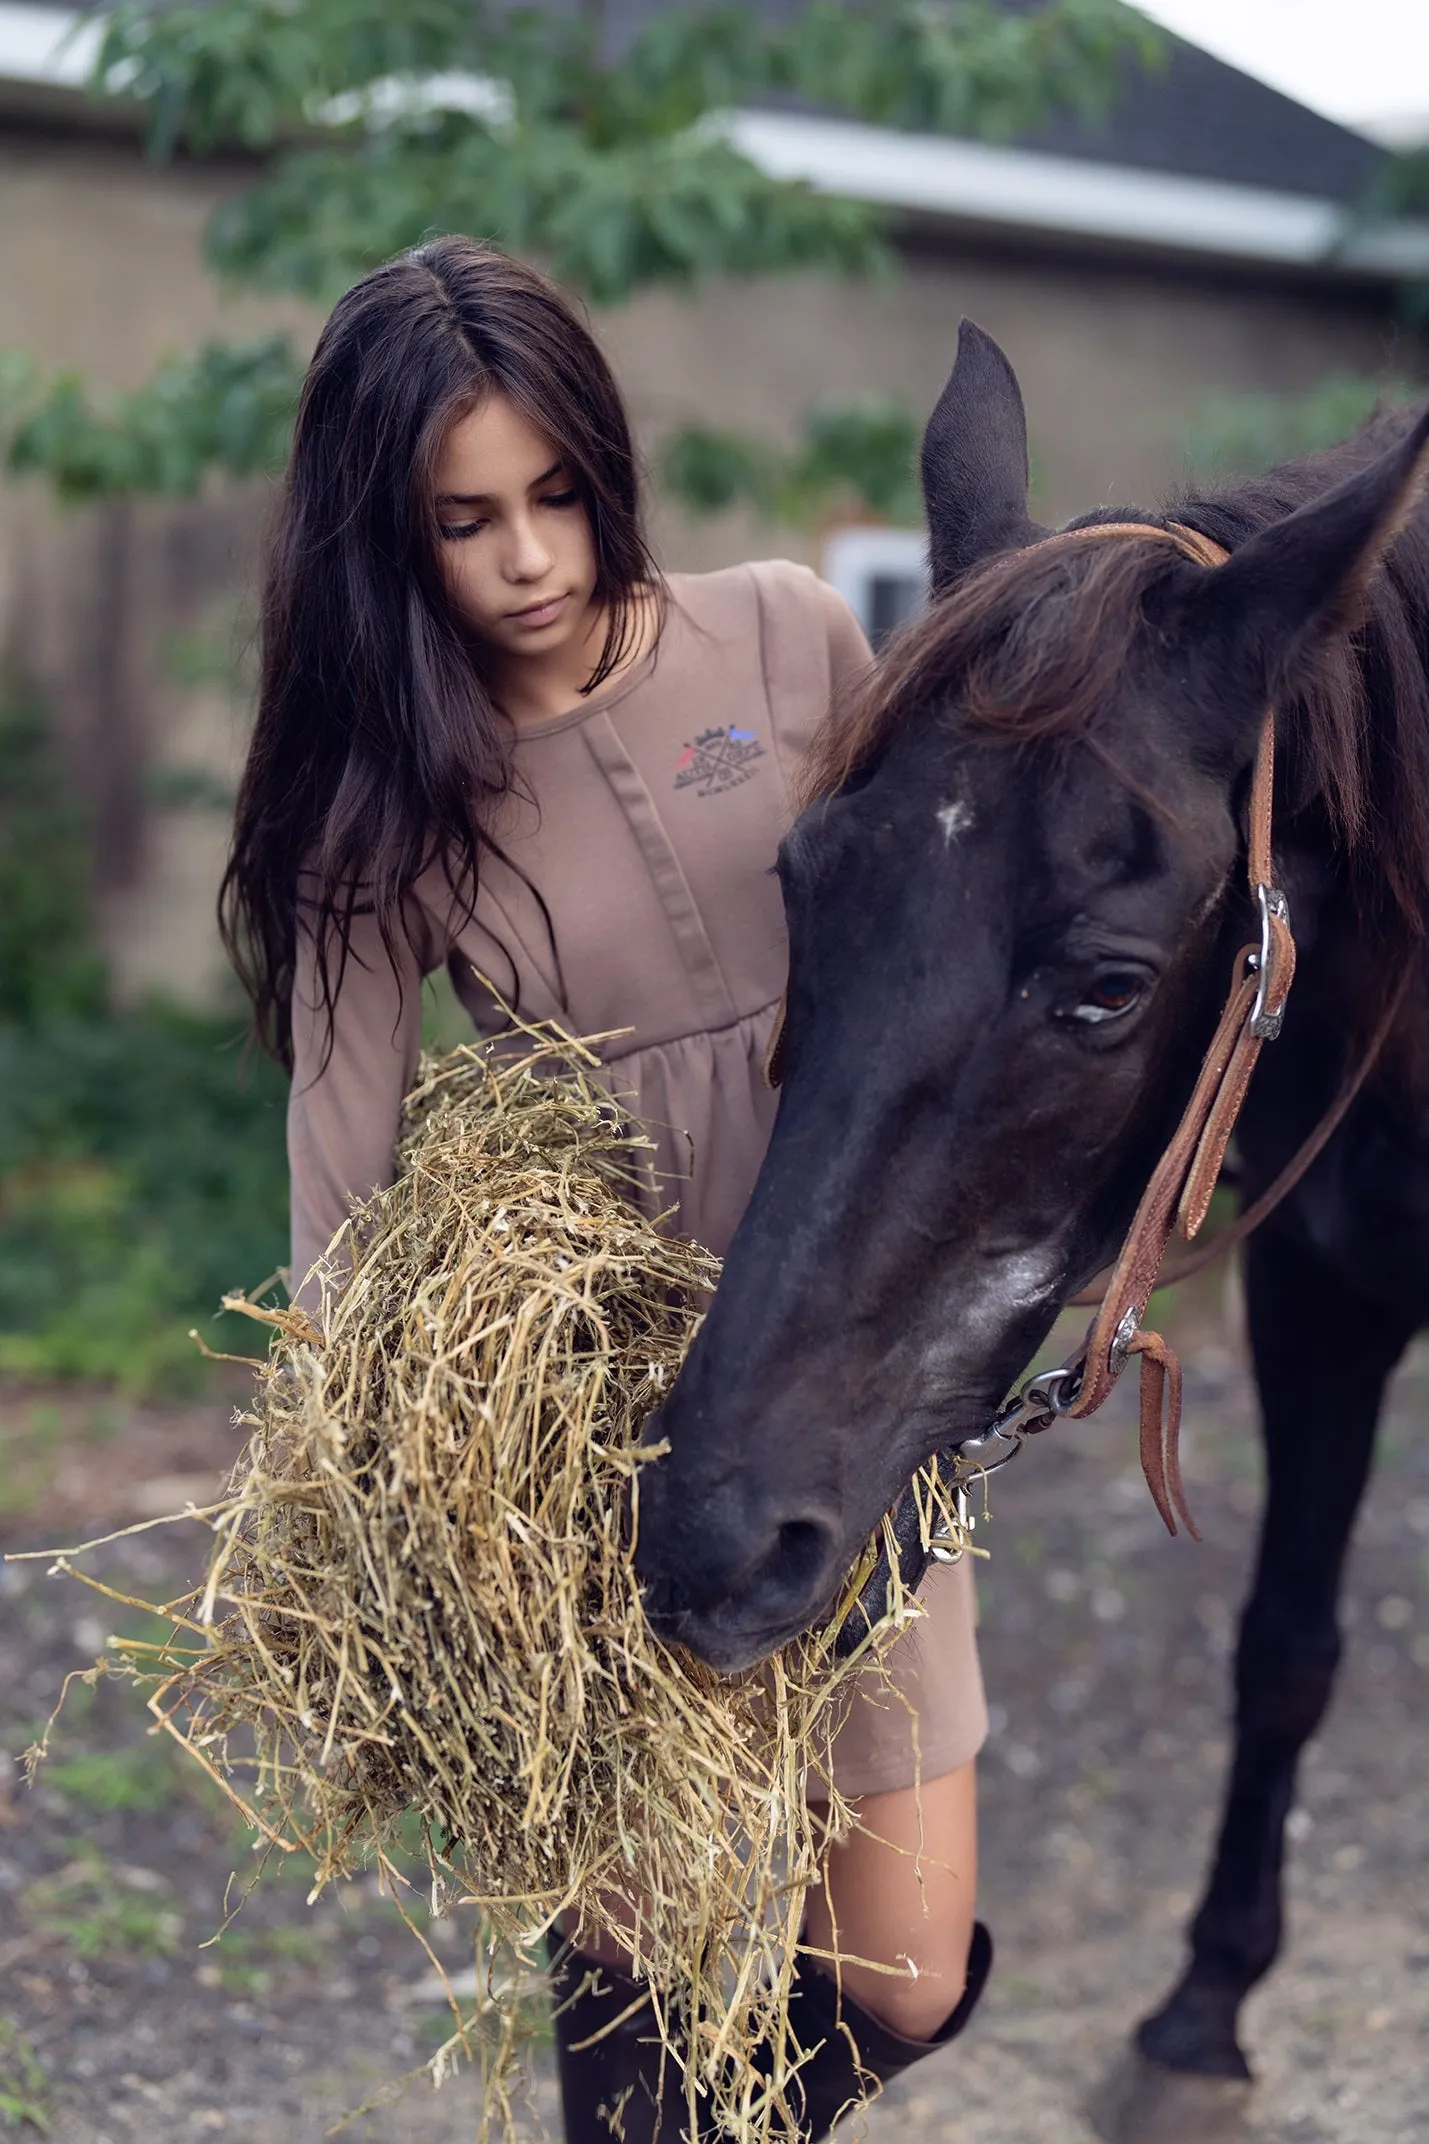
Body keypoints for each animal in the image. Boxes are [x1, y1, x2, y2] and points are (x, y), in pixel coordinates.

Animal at [638, 325, 1429, 2118]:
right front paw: (1201, 2011)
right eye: (799, 882)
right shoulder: (1321, 1294)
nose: (712, 1537)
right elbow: (1283, 1644)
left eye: (1107, 986)